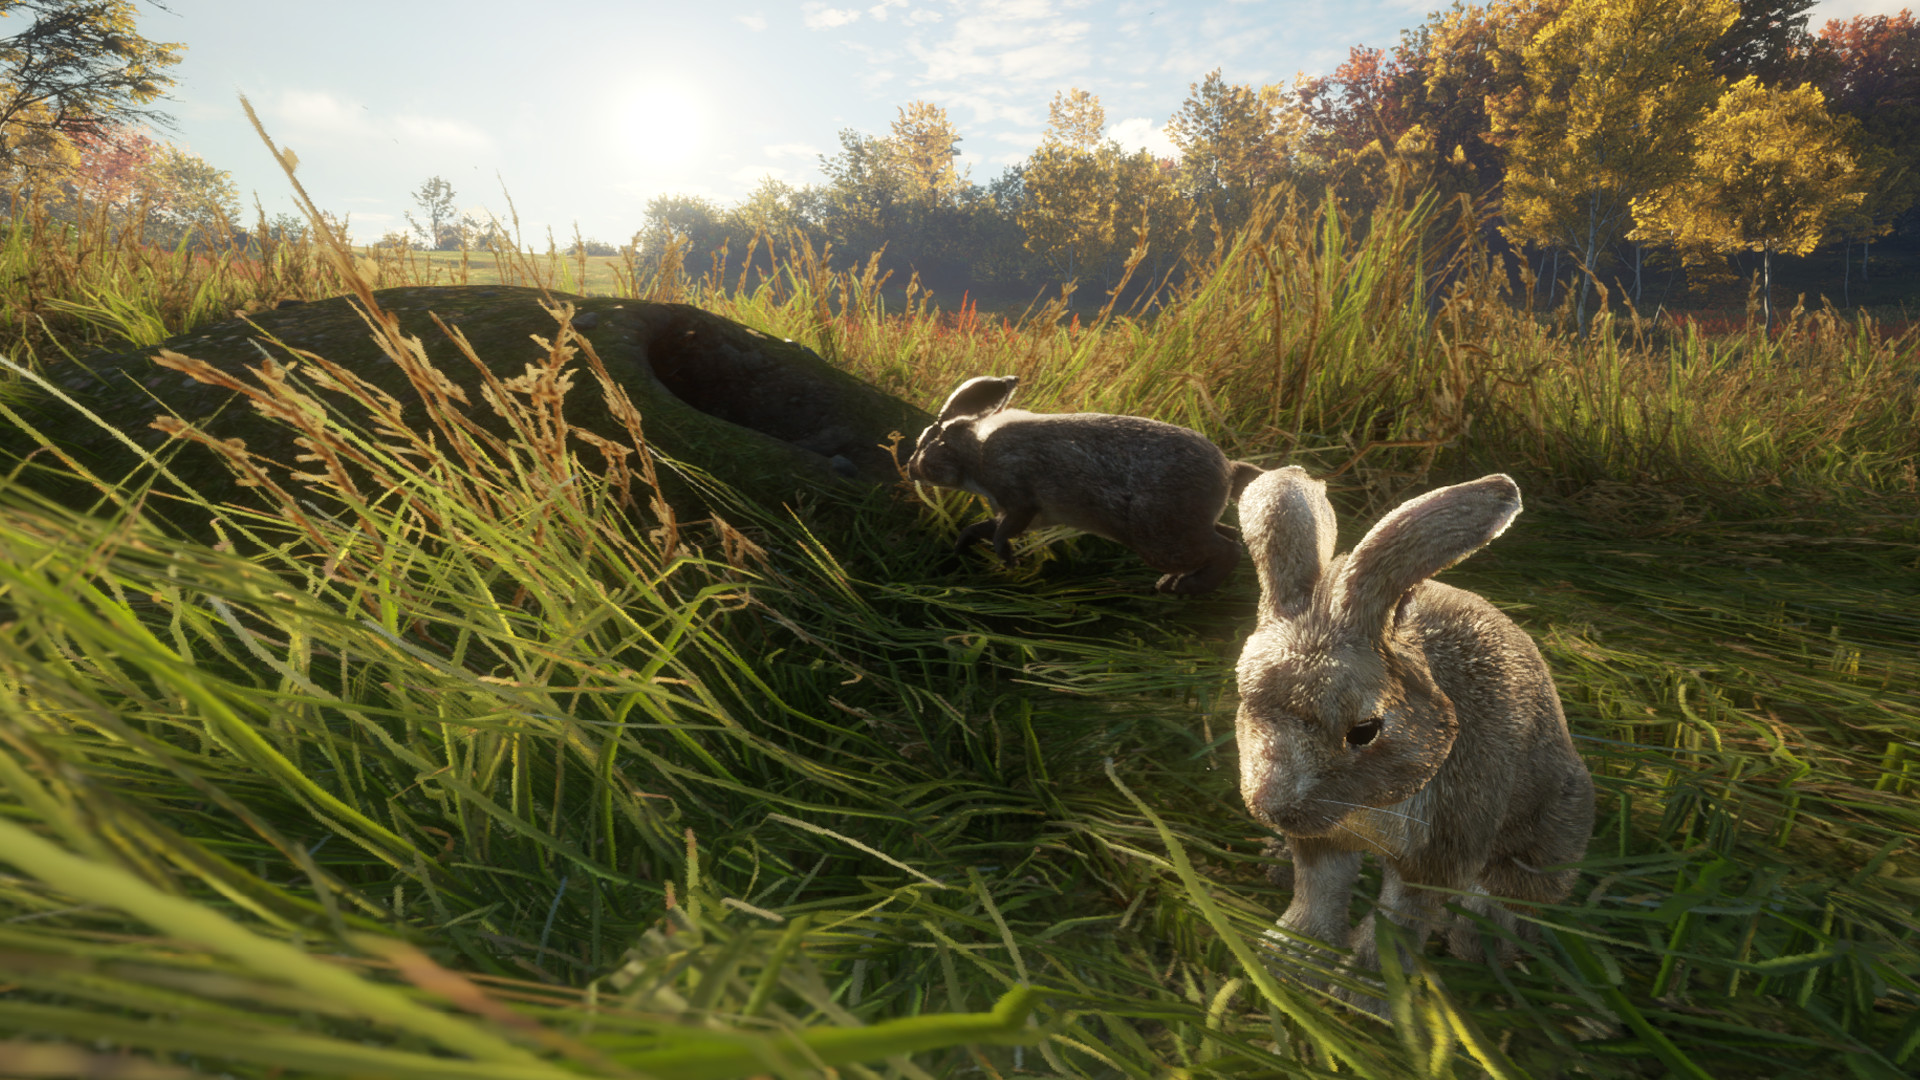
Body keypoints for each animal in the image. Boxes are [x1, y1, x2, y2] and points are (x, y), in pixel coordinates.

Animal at [907, 375, 1265, 595]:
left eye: (927, 441)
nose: (911, 468)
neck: (975, 451)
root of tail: (1228, 471)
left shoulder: (1018, 495)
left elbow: (1003, 529)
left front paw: (1007, 559)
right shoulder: (1023, 514)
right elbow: (986, 527)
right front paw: (961, 545)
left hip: (1160, 537)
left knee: (1227, 549)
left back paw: (1184, 587)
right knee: (1229, 536)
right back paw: (1174, 584)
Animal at [1232, 466, 1593, 1014]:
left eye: (1364, 730)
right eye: (1243, 694)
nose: (1271, 806)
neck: (1369, 803)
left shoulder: (1442, 846)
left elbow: (1401, 918)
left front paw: (1369, 994)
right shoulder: (1324, 840)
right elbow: (1320, 890)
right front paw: (1290, 961)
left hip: (1554, 826)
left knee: (1514, 891)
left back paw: (1480, 944)